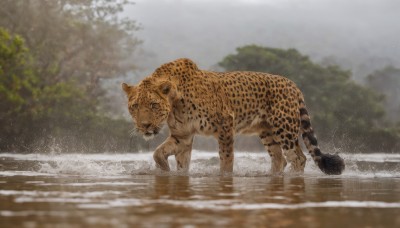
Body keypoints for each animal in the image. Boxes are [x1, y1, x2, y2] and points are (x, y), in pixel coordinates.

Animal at [122, 58, 344, 175]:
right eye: (134, 106)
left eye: (153, 105)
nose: (144, 126)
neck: (175, 100)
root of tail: (293, 85)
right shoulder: (182, 136)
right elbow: (161, 154)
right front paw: (165, 170)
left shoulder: (225, 124)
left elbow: (226, 158)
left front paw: (225, 177)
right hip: (267, 132)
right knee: (279, 158)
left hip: (284, 129)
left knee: (298, 157)